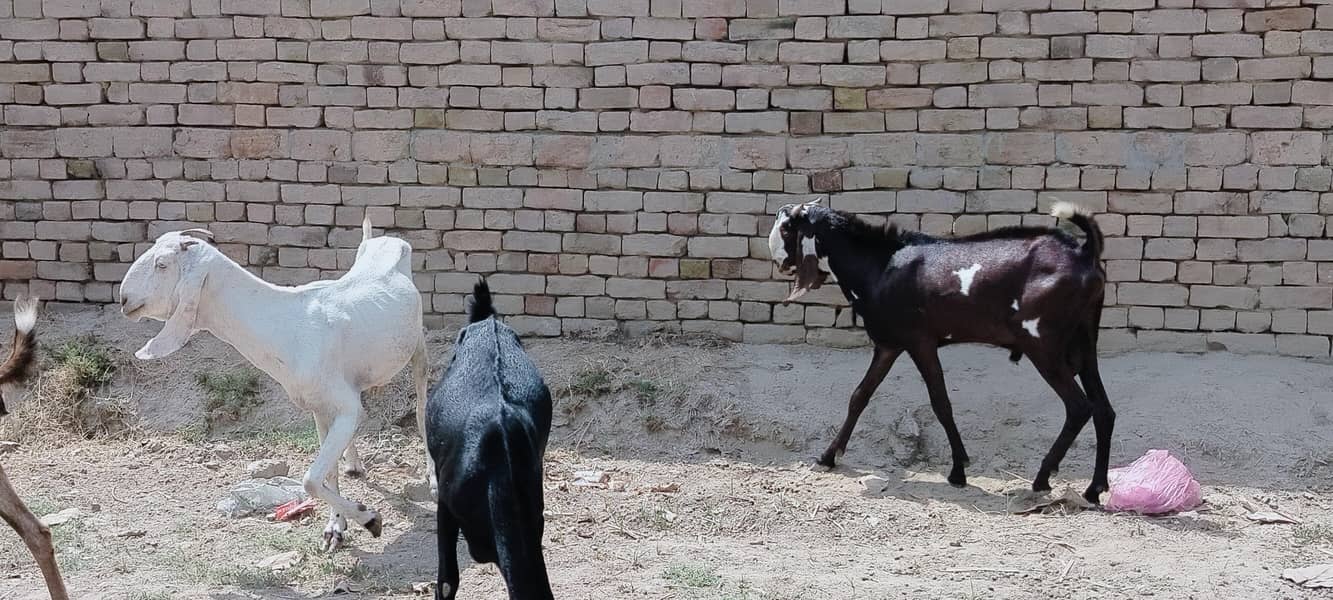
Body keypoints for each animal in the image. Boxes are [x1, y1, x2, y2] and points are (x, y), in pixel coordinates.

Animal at [118, 218, 430, 551]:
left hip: (419, 348)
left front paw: (370, 519)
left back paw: (432, 478)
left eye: (162, 264)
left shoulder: (344, 407)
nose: (124, 300)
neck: (285, 325)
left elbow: (310, 479)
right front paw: (335, 528)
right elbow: (326, 473)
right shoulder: (321, 407)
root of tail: (384, 241)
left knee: (422, 408)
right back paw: (355, 466)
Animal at [769, 198, 1113, 504]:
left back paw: (1042, 478)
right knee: (1104, 410)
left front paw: (959, 470)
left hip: (1042, 344)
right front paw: (828, 456)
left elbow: (940, 403)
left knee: (1079, 407)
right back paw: (1094, 489)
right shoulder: (889, 344)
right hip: (1084, 340)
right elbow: (860, 396)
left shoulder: (921, 342)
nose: (780, 262)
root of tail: (1083, 252)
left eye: (787, 228)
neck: (881, 264)